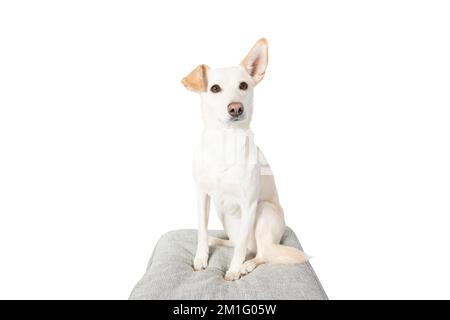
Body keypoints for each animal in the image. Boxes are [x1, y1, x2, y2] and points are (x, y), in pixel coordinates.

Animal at [182, 38, 306, 282]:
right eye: (215, 88)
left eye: (243, 86)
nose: (236, 108)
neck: (225, 142)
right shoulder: (202, 195)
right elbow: (202, 230)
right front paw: (201, 257)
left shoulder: (249, 204)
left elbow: (239, 249)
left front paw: (233, 270)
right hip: (225, 217)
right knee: (236, 242)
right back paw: (216, 241)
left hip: (264, 211)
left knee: (260, 252)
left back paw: (247, 265)